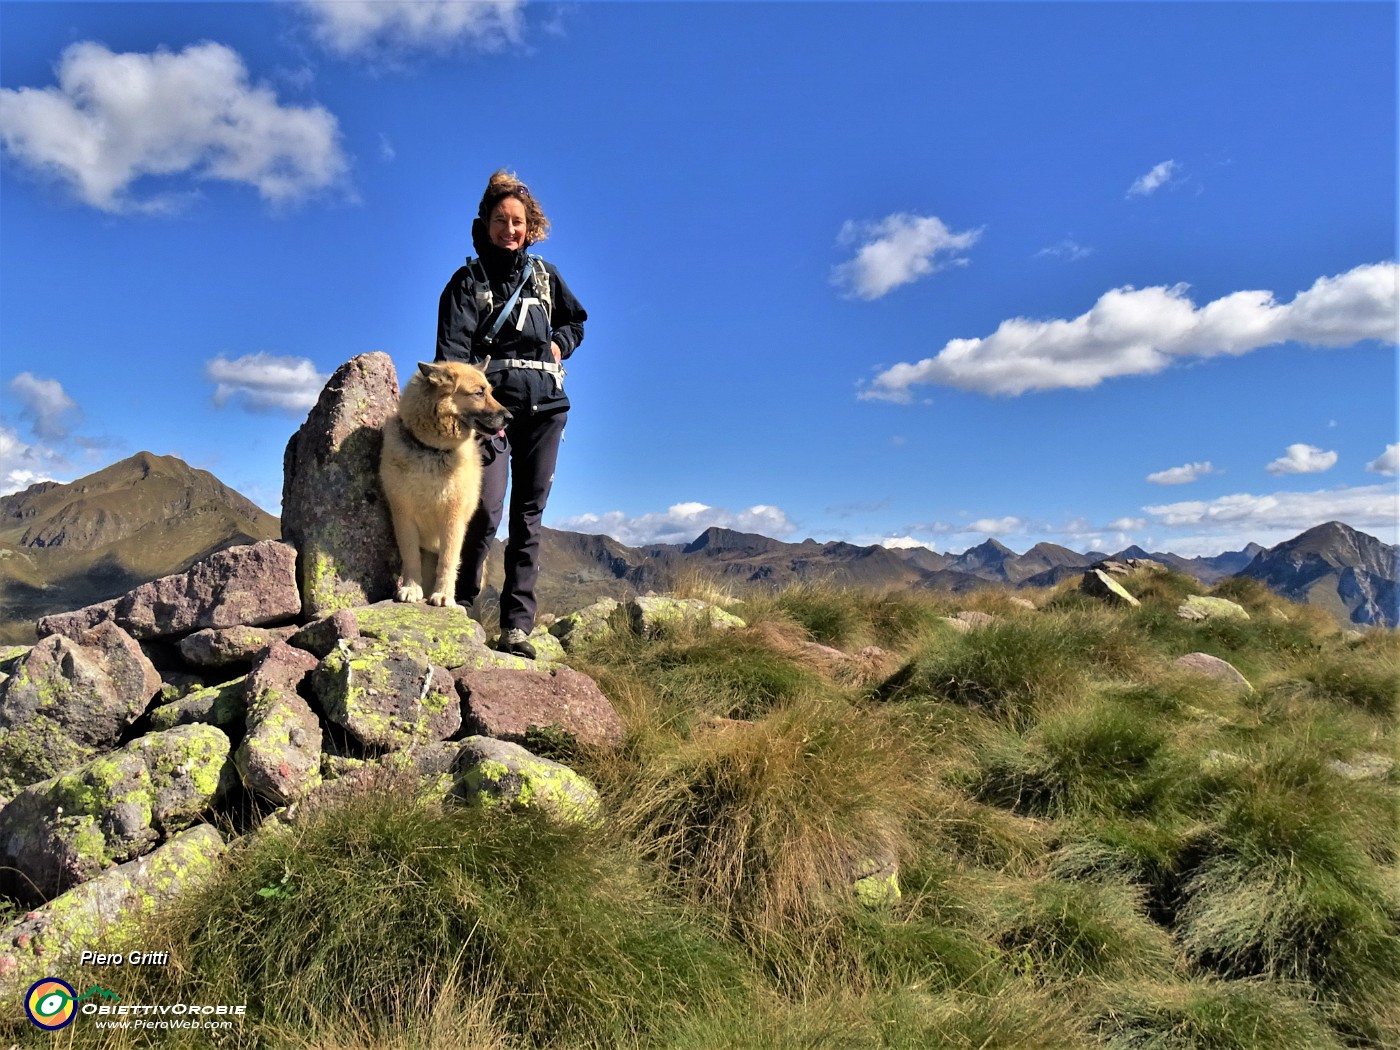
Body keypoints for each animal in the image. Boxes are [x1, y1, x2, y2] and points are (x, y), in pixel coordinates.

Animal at [380, 361, 512, 607]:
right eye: (479, 393)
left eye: (490, 391)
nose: (510, 417)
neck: (432, 450)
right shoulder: (403, 515)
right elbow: (410, 556)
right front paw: (411, 588)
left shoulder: (452, 518)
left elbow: (448, 561)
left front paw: (443, 594)